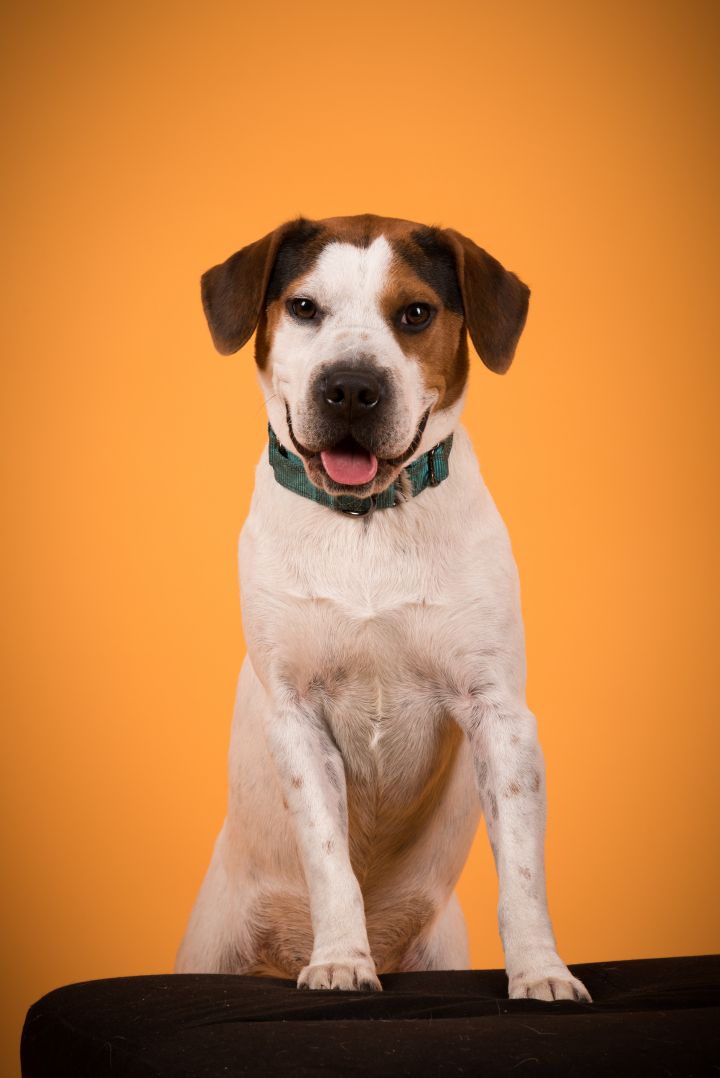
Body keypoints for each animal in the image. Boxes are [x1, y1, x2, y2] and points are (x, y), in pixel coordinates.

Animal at [174, 210, 590, 1000]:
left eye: (416, 313)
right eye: (305, 307)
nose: (350, 388)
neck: (364, 523)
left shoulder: (500, 715)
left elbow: (523, 874)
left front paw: (541, 971)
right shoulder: (298, 718)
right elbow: (332, 862)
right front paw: (341, 959)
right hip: (208, 952)